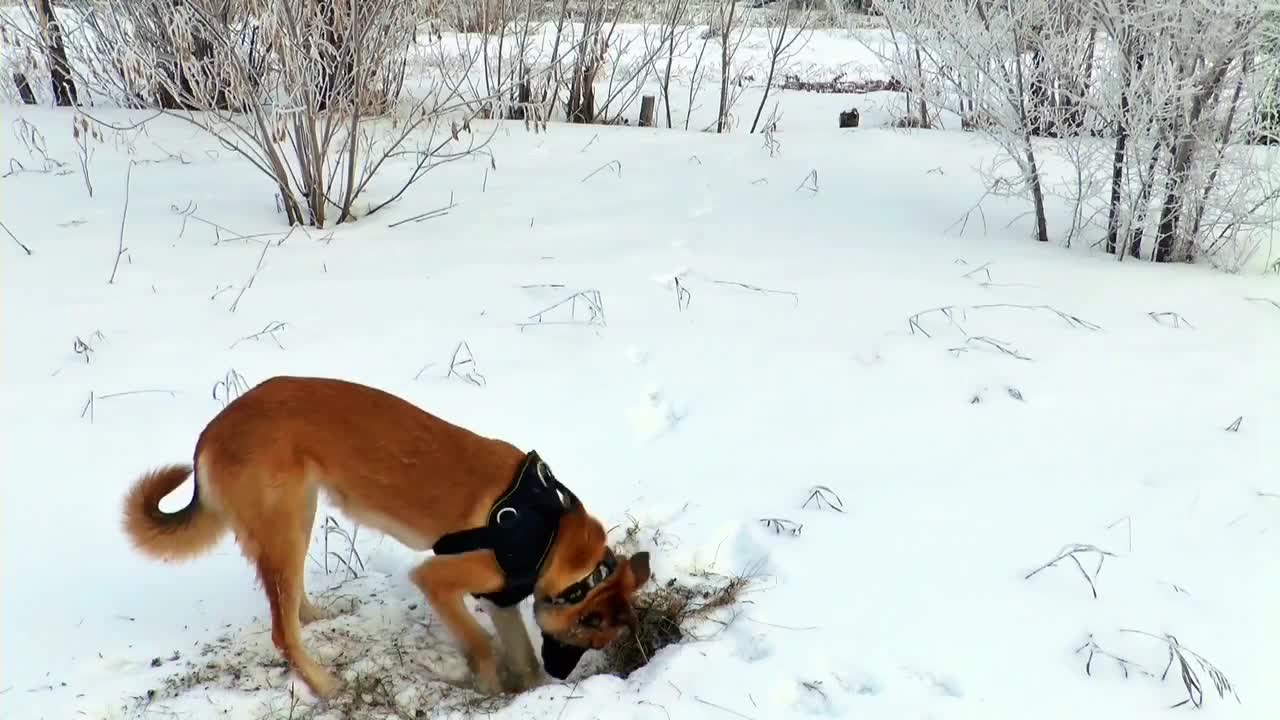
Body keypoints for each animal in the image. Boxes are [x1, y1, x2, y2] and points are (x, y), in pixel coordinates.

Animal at [122, 376, 650, 696]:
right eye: (589, 640)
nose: (566, 676)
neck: (550, 534)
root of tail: (211, 433)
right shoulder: (438, 580)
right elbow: (479, 641)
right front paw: (490, 685)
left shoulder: (501, 599)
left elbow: (518, 649)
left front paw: (530, 688)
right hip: (287, 523)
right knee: (282, 631)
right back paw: (326, 687)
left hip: (299, 517)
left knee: (287, 602)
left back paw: (314, 616)